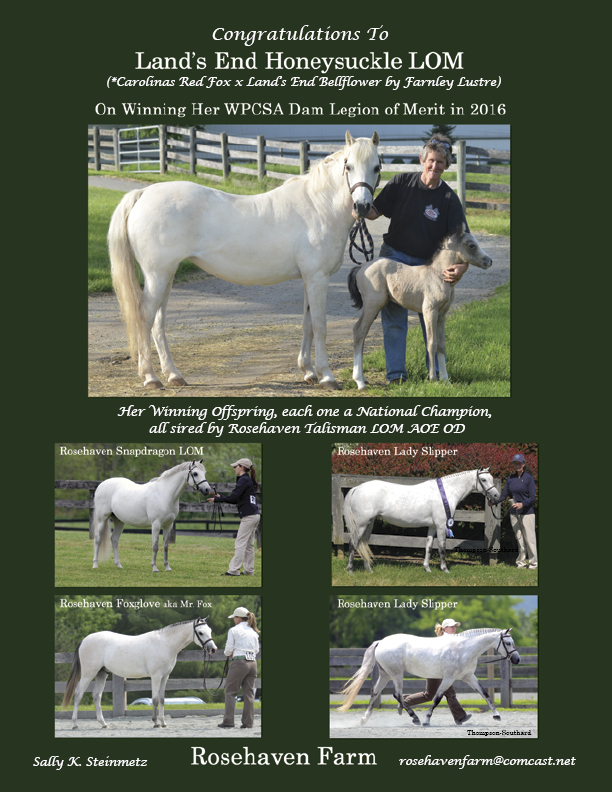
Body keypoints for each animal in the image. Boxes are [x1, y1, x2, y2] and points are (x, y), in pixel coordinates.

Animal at [62, 617, 217, 729]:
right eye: (201, 632)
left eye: (210, 630)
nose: (213, 649)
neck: (165, 644)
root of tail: (84, 640)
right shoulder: (156, 676)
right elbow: (155, 699)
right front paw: (155, 723)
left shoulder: (165, 677)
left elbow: (162, 699)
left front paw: (163, 722)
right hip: (88, 673)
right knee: (78, 694)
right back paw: (75, 724)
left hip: (101, 674)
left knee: (96, 695)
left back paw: (103, 724)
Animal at [108, 131, 381, 390]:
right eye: (348, 166)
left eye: (377, 167)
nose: (362, 207)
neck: (318, 206)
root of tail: (143, 193)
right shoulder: (317, 278)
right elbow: (320, 325)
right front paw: (326, 376)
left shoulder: (309, 279)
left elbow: (307, 324)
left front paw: (308, 371)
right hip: (158, 274)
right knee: (145, 317)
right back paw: (150, 377)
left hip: (167, 274)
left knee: (158, 323)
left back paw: (174, 375)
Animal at [337, 628, 520, 727]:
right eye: (508, 643)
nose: (517, 659)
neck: (462, 649)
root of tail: (381, 642)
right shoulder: (448, 679)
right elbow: (437, 699)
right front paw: (426, 720)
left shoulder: (468, 677)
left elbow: (485, 694)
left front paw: (496, 715)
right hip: (396, 673)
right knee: (397, 694)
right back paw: (415, 718)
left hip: (385, 674)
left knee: (375, 693)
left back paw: (364, 719)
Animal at [343, 467, 499, 573]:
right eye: (483, 480)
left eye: (492, 479)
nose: (496, 496)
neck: (446, 492)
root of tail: (357, 488)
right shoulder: (441, 526)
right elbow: (442, 547)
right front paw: (445, 569)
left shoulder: (432, 527)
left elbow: (428, 547)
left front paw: (427, 568)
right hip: (361, 524)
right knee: (353, 543)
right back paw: (350, 570)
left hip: (369, 524)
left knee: (363, 544)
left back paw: (368, 569)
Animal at [347, 225, 493, 388]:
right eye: (471, 245)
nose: (489, 261)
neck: (438, 276)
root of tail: (361, 268)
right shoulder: (429, 312)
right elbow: (431, 343)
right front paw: (433, 378)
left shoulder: (442, 315)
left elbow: (441, 344)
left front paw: (445, 380)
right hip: (373, 304)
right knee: (359, 331)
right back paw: (359, 381)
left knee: (362, 334)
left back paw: (363, 378)